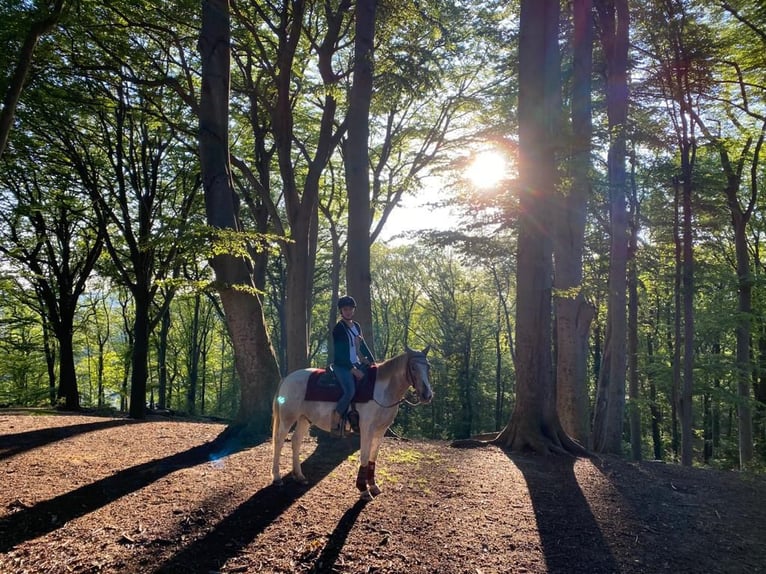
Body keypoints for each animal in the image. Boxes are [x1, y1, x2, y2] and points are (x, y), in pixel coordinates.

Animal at [272, 348, 436, 502]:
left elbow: (373, 457)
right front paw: (363, 490)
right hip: (288, 418)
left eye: (428, 366)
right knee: (279, 442)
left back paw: (299, 476)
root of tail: (287, 378)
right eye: (413, 367)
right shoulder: (367, 429)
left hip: (304, 419)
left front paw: (373, 486)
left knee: (296, 441)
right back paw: (277, 477)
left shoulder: (380, 431)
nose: (427, 395)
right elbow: (364, 457)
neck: (381, 391)